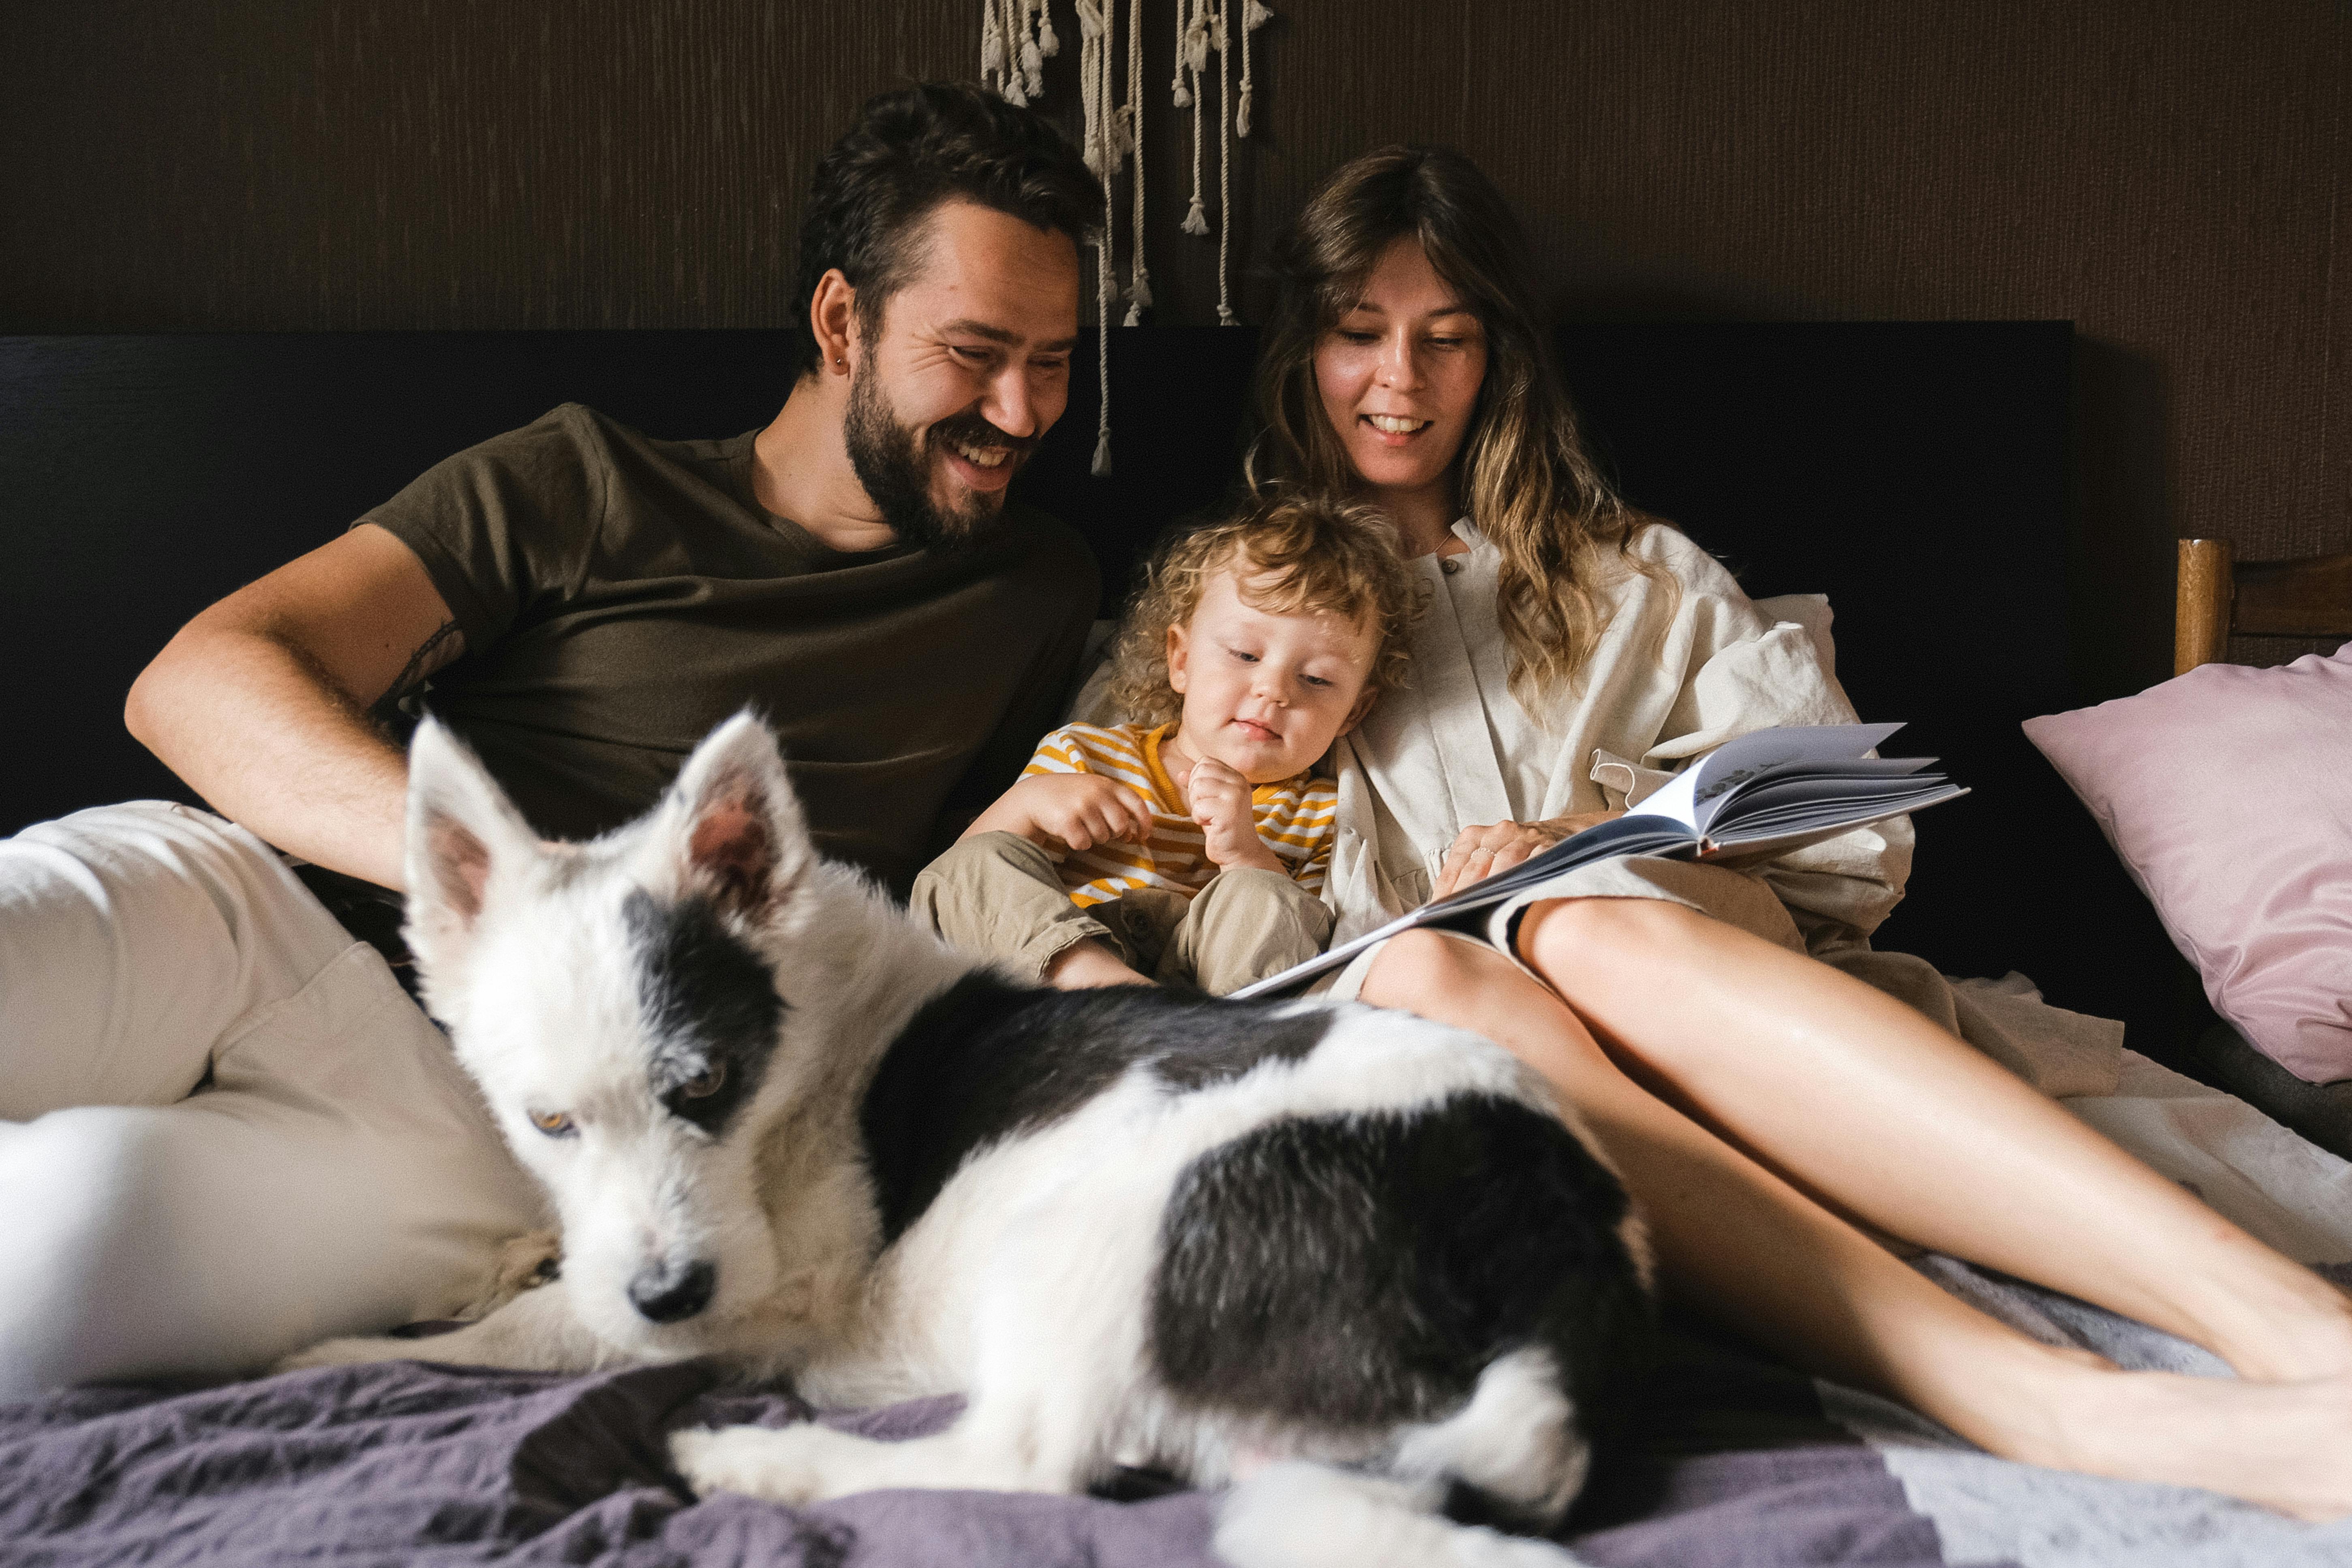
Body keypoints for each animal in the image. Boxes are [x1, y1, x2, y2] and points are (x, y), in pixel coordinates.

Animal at [289, 719, 1656, 1561]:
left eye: (709, 1082)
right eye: (547, 1121)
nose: (670, 1292)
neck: (805, 1035)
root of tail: (1558, 1248)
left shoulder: (767, 1290)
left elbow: (526, 1335)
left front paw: (341, 1346)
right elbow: (547, 1281)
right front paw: (505, 1260)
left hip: (1102, 1222)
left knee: (1016, 1461)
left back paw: (755, 1457)